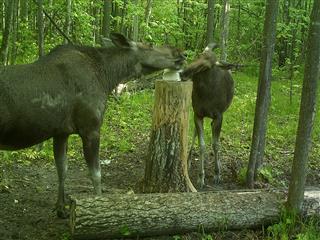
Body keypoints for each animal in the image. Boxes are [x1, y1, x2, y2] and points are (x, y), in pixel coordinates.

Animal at [0, 33, 185, 218]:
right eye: (150, 44)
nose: (181, 53)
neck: (107, 77)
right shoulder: (91, 128)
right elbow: (96, 174)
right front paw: (98, 208)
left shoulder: (61, 132)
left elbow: (62, 169)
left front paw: (61, 208)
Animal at [182, 44, 235, 188]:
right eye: (199, 55)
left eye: (207, 66)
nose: (184, 72)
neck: (206, 95)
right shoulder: (197, 114)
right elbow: (202, 145)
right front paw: (201, 177)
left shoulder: (219, 116)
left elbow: (215, 144)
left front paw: (217, 174)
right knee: (195, 133)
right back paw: (188, 160)